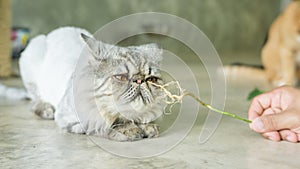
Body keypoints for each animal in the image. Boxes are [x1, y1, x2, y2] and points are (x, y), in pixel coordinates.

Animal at [19, 27, 166, 141]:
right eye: (121, 77)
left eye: (151, 79)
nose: (139, 80)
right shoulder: (69, 118)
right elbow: (108, 123)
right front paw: (130, 130)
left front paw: (146, 126)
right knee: (34, 102)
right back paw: (46, 110)